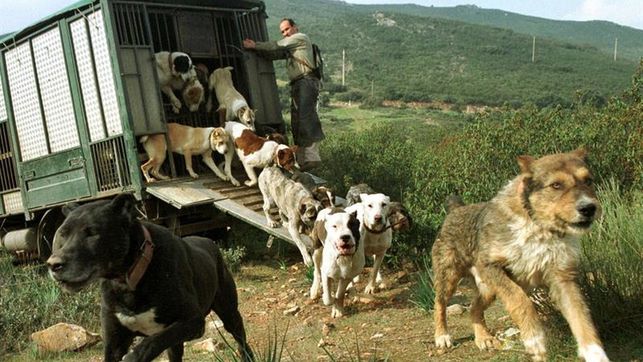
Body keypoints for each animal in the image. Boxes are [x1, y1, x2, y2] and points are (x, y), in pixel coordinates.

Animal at [47, 195, 253, 362]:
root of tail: (208, 240)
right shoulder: (114, 342)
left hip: (229, 313)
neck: (128, 281)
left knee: (242, 341)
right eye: (63, 234)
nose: (53, 264)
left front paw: (133, 357)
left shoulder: (192, 321)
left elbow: (150, 343)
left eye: (92, 233)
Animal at [432, 148, 608, 360]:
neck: (538, 227)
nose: (589, 208)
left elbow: (581, 318)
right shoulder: (490, 266)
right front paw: (534, 339)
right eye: (556, 185)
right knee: (439, 304)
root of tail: (456, 209)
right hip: (450, 277)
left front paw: (595, 353)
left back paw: (483, 338)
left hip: (488, 289)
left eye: (588, 180)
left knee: (474, 309)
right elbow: (520, 300)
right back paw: (442, 336)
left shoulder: (563, 279)